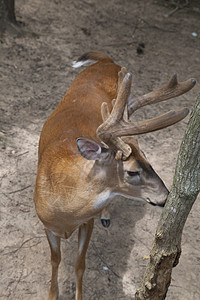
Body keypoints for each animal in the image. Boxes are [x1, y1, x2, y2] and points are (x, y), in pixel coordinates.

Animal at [34, 52, 195, 300]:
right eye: (132, 171)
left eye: (149, 161)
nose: (166, 196)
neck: (65, 207)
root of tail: (107, 60)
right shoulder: (47, 225)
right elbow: (55, 261)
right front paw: (52, 294)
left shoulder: (87, 221)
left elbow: (80, 265)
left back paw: (107, 215)